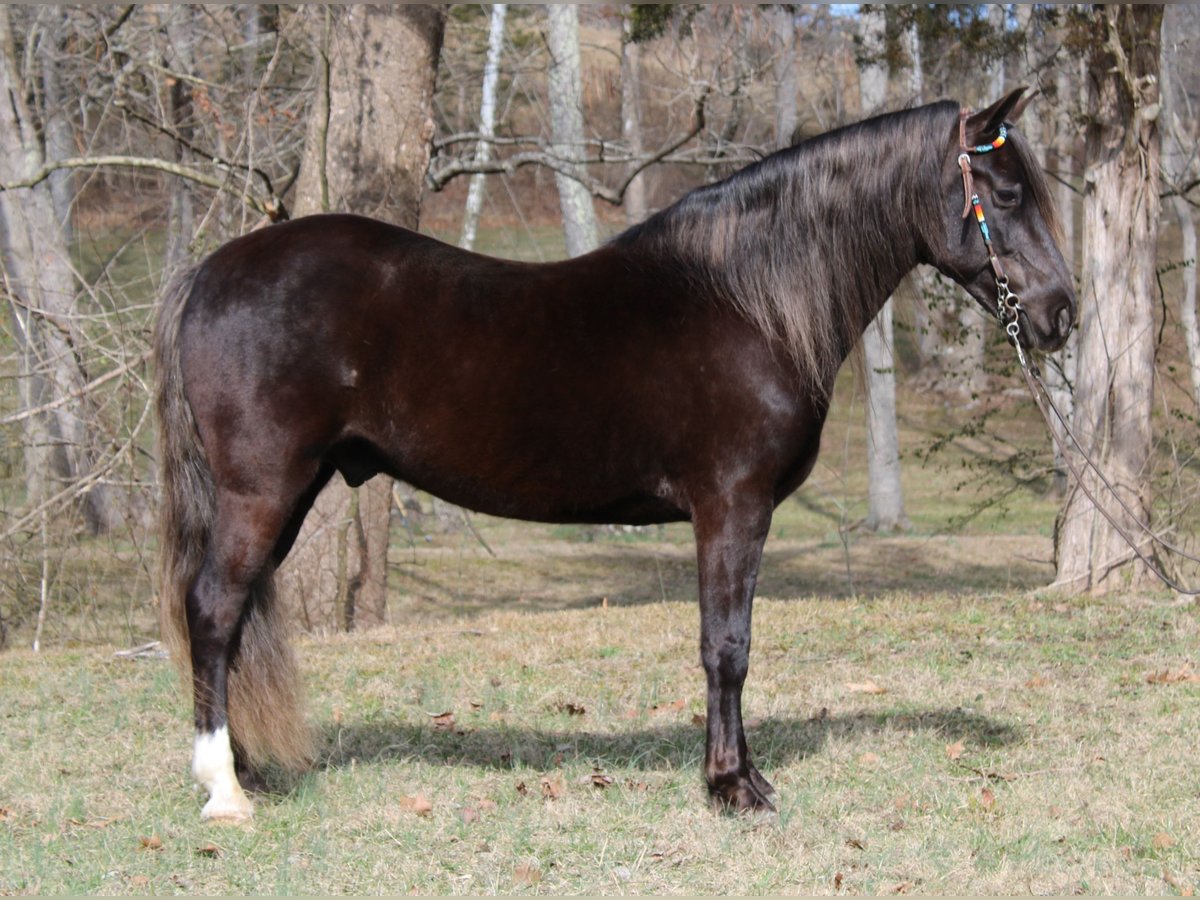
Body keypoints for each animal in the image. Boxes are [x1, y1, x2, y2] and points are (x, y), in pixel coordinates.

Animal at [154, 87, 1074, 822]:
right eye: (1006, 192)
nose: (1062, 313)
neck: (748, 303)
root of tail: (211, 272)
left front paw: (737, 777)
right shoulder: (731, 506)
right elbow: (727, 646)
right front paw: (734, 787)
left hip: (291, 490)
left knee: (233, 619)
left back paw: (245, 770)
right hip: (262, 488)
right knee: (213, 609)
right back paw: (224, 791)